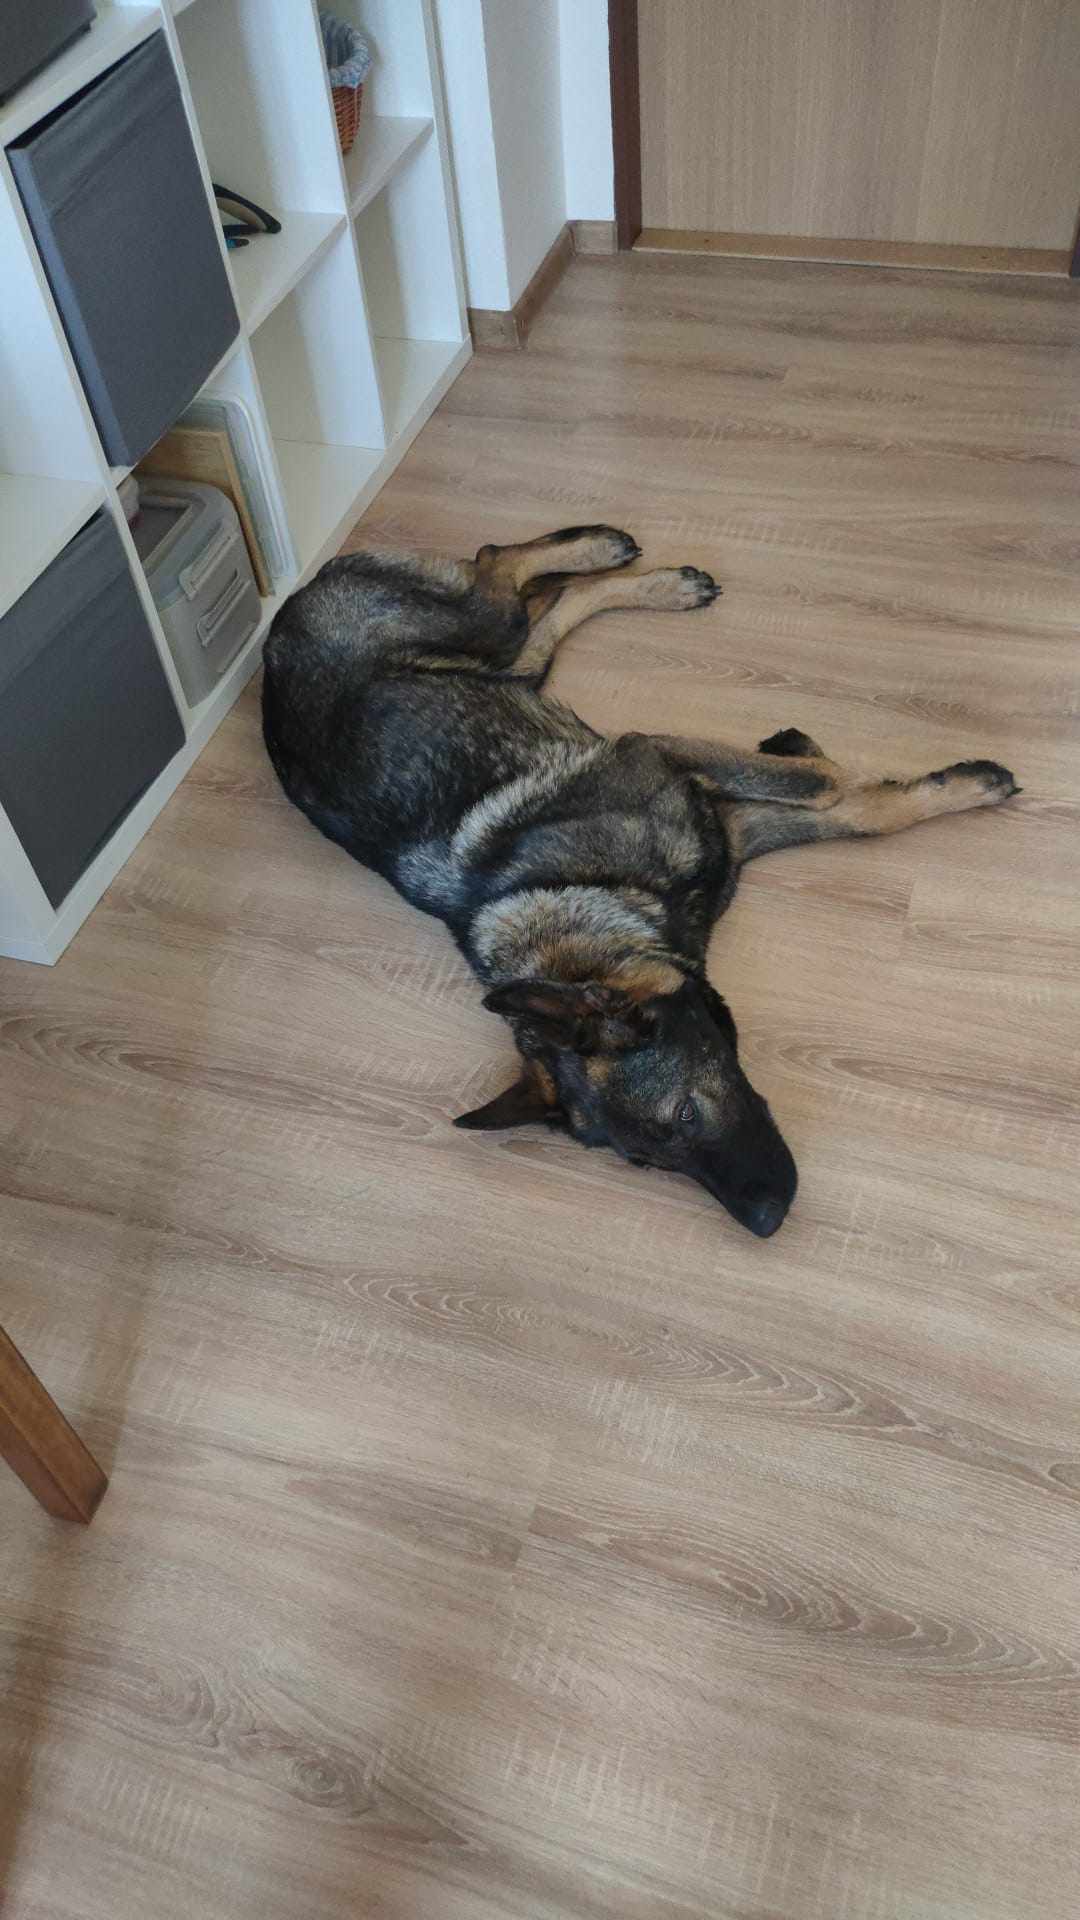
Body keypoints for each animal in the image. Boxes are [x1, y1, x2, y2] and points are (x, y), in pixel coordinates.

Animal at [262, 526, 1019, 1237]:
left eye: (684, 1112)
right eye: (649, 1163)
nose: (765, 1222)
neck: (587, 898)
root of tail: (276, 627)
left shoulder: (664, 761)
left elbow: (834, 788)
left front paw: (903, 773)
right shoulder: (731, 828)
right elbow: (858, 807)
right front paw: (938, 786)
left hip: (488, 631)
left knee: (499, 564)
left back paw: (615, 555)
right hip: (507, 668)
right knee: (546, 606)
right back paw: (646, 577)